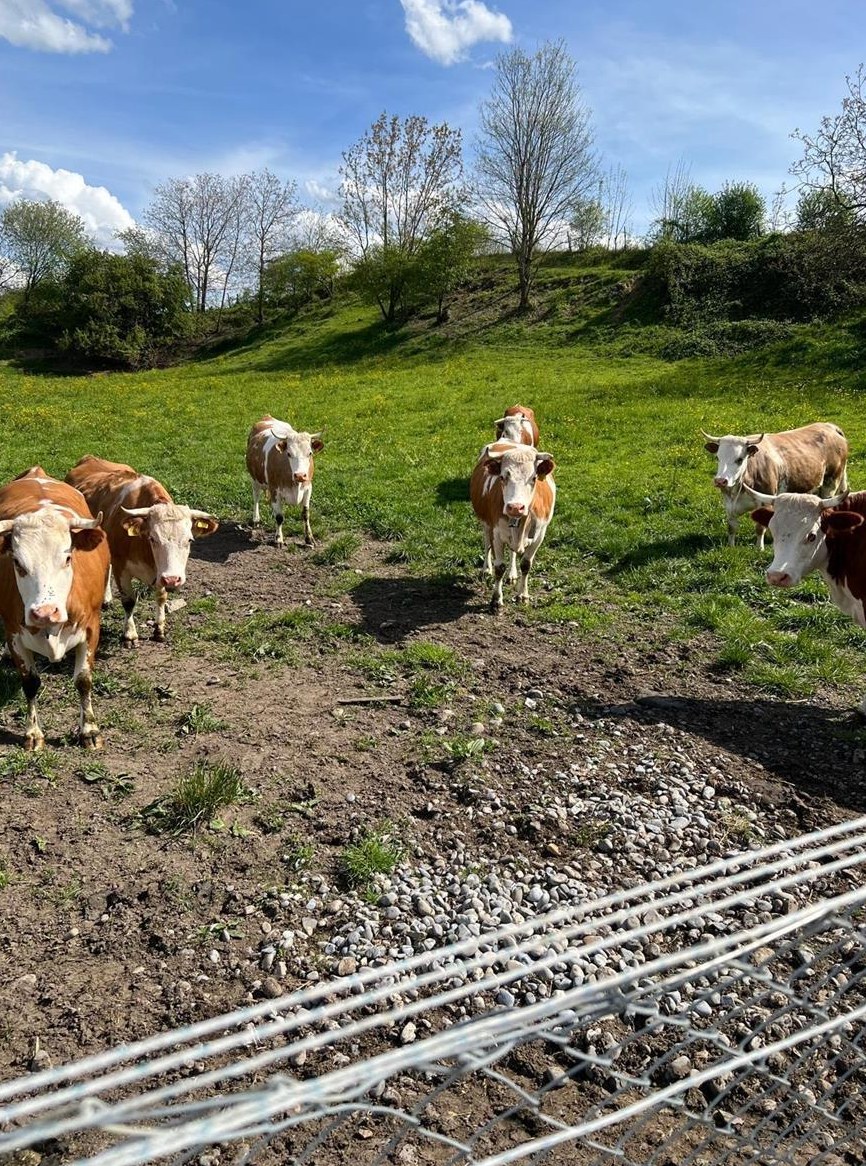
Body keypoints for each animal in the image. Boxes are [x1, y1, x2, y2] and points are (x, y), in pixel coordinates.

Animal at [0, 467, 109, 750]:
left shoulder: (92, 627)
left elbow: (83, 680)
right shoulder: (15, 634)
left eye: (68, 557)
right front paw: (33, 733)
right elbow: (30, 682)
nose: (45, 612)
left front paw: (89, 730)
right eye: (17, 563)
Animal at [65, 456, 219, 648]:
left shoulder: (160, 573)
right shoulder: (121, 567)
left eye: (189, 540)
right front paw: (130, 635)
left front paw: (159, 629)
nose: (173, 579)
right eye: (153, 538)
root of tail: (90, 458)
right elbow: (129, 601)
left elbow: (161, 596)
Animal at [246, 415, 324, 546]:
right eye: (288, 454)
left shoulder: (308, 488)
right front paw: (278, 538)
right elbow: (279, 517)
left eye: (310, 453)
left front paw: (309, 538)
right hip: (255, 479)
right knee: (256, 497)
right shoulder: (274, 490)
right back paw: (256, 519)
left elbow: (305, 514)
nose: (300, 475)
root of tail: (267, 417)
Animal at [469, 441, 556, 611]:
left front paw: (523, 595)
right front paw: (496, 599)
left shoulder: (540, 535)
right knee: (486, 544)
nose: (515, 507)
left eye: (534, 478)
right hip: (486, 524)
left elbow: (526, 565)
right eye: (502, 477)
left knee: (513, 552)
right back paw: (486, 569)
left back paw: (512, 574)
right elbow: (499, 568)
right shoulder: (496, 533)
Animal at [702, 423, 848, 549]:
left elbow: (759, 528)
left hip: (831, 482)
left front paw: (759, 548)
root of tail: (830, 426)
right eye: (718, 458)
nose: (721, 481)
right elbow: (731, 527)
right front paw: (731, 547)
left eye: (739, 459)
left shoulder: (765, 501)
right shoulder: (729, 504)